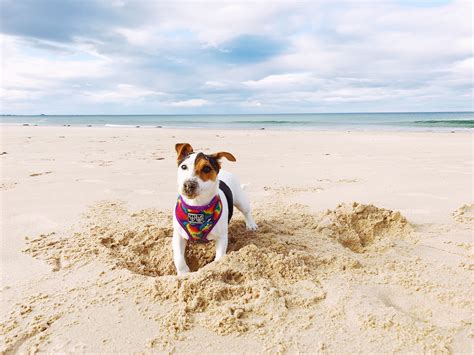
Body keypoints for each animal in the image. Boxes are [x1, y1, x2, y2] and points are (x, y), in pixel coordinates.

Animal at [172, 143, 258, 276]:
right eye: (183, 167)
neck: (197, 207)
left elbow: (219, 258)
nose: (188, 185)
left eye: (207, 169)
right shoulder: (178, 236)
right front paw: (183, 273)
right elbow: (179, 258)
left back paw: (251, 225)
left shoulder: (222, 238)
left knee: (246, 211)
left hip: (240, 199)